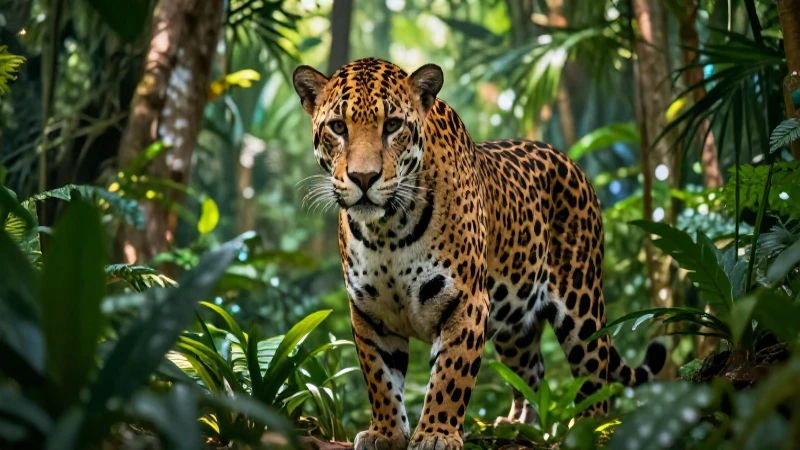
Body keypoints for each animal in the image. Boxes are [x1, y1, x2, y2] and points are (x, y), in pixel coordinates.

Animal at [292, 58, 666, 450]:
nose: (364, 178)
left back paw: (591, 431)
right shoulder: (369, 311)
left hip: (582, 306)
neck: (388, 231)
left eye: (392, 125)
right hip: (515, 321)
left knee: (596, 375)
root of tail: (571, 161)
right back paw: (517, 426)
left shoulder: (466, 300)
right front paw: (386, 432)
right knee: (532, 370)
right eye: (338, 127)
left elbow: (450, 376)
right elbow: (380, 378)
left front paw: (436, 434)